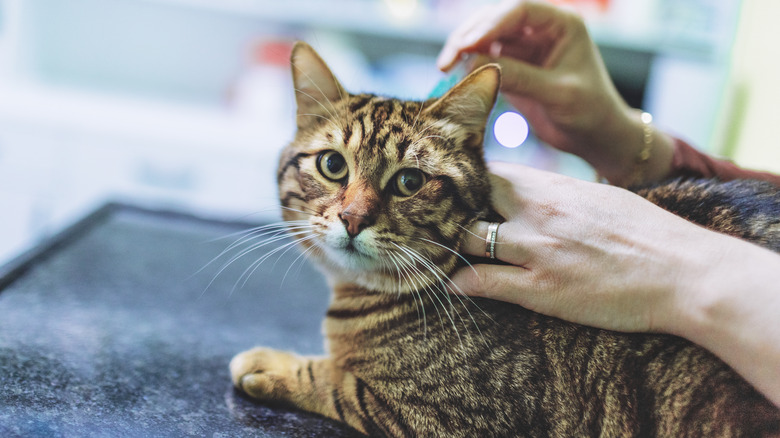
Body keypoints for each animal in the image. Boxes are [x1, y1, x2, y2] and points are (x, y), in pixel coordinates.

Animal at [230, 42, 780, 438]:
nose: (351, 218)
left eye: (408, 181)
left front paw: (268, 363)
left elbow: (338, 382)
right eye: (332, 165)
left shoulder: (454, 414)